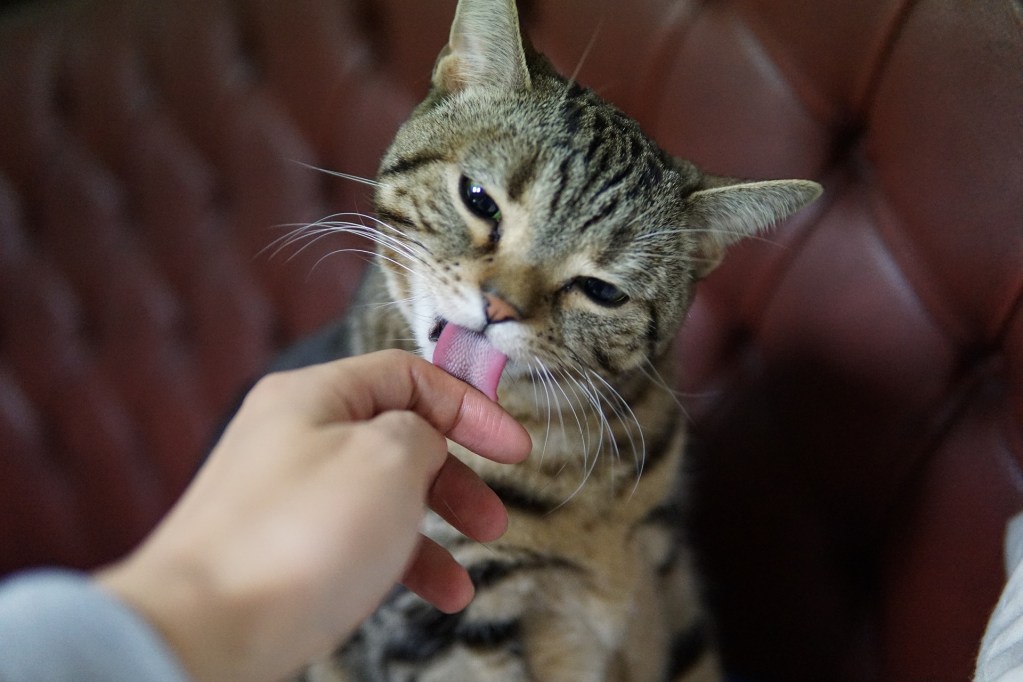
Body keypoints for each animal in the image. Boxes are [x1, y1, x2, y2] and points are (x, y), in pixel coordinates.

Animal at [284, 0, 818, 678]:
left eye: (603, 291)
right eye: (479, 200)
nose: (499, 306)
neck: (563, 456)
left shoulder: (669, 588)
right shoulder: (435, 626)